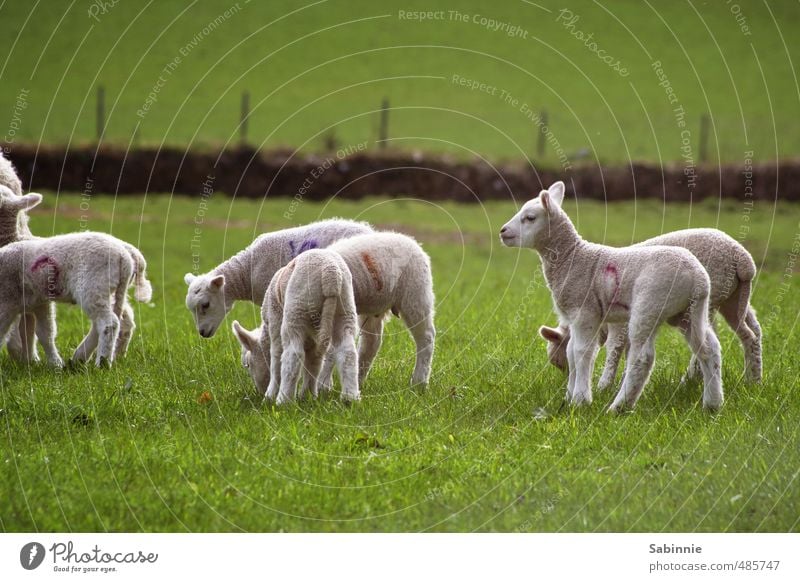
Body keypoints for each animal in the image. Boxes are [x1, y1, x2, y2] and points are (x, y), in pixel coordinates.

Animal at [0, 226, 152, 368]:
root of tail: (124, 257)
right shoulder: (39, 303)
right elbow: (42, 332)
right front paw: (50, 363)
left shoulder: (7, 301)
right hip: (111, 291)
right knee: (109, 321)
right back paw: (80, 357)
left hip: (93, 286)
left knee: (109, 322)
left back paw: (102, 363)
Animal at [231, 249, 356, 404]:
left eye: (248, 364)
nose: (259, 391)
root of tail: (331, 275)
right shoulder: (313, 342)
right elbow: (313, 364)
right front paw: (308, 395)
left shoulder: (274, 321)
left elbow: (276, 359)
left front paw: (270, 395)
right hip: (345, 308)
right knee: (348, 351)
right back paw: (350, 398)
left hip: (296, 310)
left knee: (293, 355)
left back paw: (283, 400)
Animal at [496, 180, 720, 412]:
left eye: (530, 217)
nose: (503, 231)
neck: (571, 258)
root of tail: (697, 278)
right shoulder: (574, 317)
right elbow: (570, 353)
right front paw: (568, 398)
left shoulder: (585, 312)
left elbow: (581, 352)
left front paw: (580, 400)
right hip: (689, 311)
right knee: (709, 348)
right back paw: (712, 404)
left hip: (650, 304)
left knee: (642, 358)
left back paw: (618, 407)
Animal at [536, 228, 764, 388]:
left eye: (559, 361)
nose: (567, 382)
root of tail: (742, 258)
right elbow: (628, 351)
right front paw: (622, 380)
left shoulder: (619, 322)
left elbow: (615, 348)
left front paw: (604, 384)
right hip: (734, 298)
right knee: (752, 332)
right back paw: (753, 379)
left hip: (711, 294)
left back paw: (691, 379)